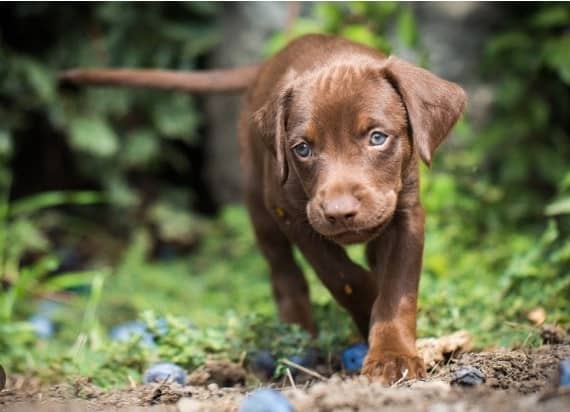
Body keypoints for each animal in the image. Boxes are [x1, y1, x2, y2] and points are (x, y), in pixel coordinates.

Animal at [62, 33, 464, 384]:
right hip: (260, 205)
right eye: (302, 148)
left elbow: (397, 288)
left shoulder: (406, 213)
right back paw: (297, 333)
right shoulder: (295, 216)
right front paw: (367, 303)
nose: (338, 212)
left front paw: (392, 355)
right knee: (285, 274)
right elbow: (341, 276)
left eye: (377, 138)